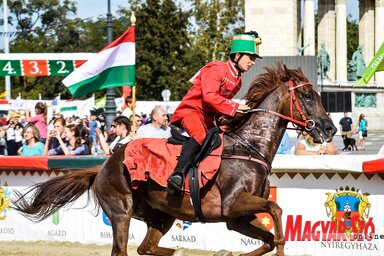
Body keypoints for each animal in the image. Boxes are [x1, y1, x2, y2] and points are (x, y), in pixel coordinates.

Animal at [11, 62, 336, 256]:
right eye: (308, 96)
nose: (329, 128)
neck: (249, 147)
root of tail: (103, 165)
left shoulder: (236, 218)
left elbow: (268, 238)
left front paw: (230, 251)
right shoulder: (233, 205)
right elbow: (276, 212)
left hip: (162, 214)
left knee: (146, 248)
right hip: (121, 211)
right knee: (124, 250)